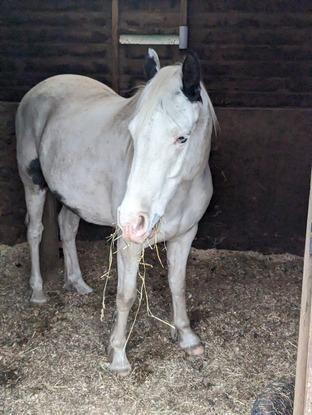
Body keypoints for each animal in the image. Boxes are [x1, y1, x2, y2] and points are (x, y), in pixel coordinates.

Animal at [16, 48, 217, 374]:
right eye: (132, 135)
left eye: (182, 137)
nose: (131, 219)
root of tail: (41, 88)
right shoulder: (129, 244)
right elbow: (126, 295)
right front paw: (119, 355)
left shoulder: (186, 235)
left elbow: (177, 284)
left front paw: (187, 337)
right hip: (33, 184)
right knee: (35, 231)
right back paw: (37, 291)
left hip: (73, 197)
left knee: (67, 228)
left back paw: (78, 283)